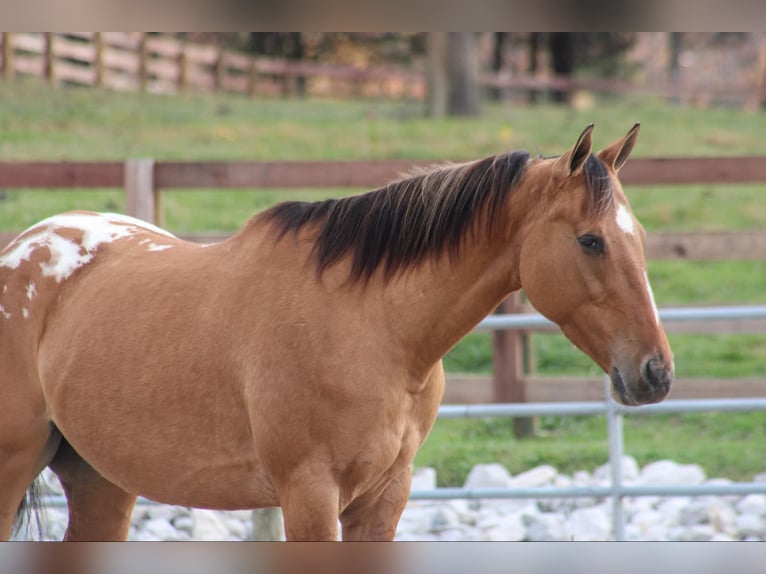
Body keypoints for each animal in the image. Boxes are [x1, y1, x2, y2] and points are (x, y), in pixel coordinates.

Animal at [0, 124, 672, 544]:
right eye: (590, 240)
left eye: (639, 236)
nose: (656, 373)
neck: (372, 326)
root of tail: (23, 246)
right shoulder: (309, 496)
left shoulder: (384, 498)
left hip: (101, 483)